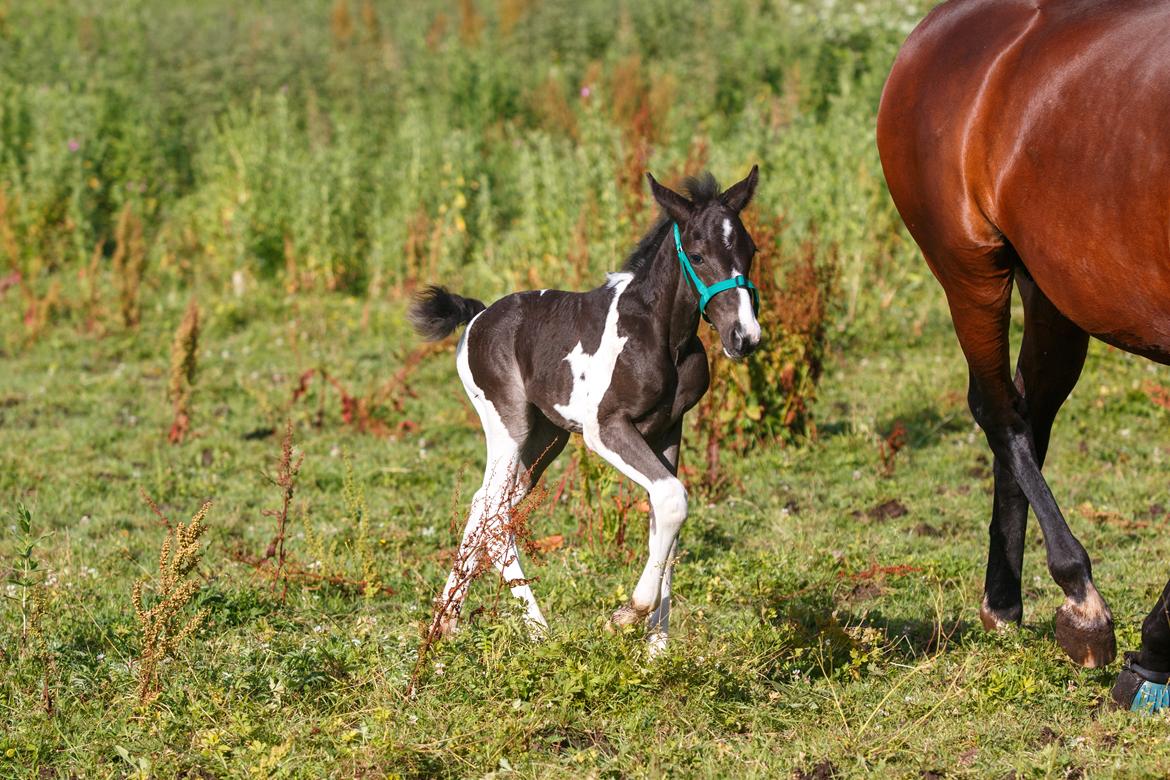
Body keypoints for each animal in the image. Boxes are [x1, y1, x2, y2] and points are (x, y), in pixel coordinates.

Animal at [407, 169, 762, 654]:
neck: (659, 334)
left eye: (751, 251)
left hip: (547, 438)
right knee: (494, 510)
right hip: (509, 426)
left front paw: (656, 649)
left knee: (487, 505)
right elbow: (672, 499)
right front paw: (625, 617)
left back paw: (446, 622)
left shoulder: (669, 430)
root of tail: (478, 316)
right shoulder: (605, 428)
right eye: (697, 254)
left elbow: (663, 520)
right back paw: (537, 630)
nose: (745, 336)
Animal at [879, 0, 1170, 701]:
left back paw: (1005, 601)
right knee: (999, 408)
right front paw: (1149, 657)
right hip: (969, 270)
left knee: (1028, 407)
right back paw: (1080, 602)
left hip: (1056, 293)